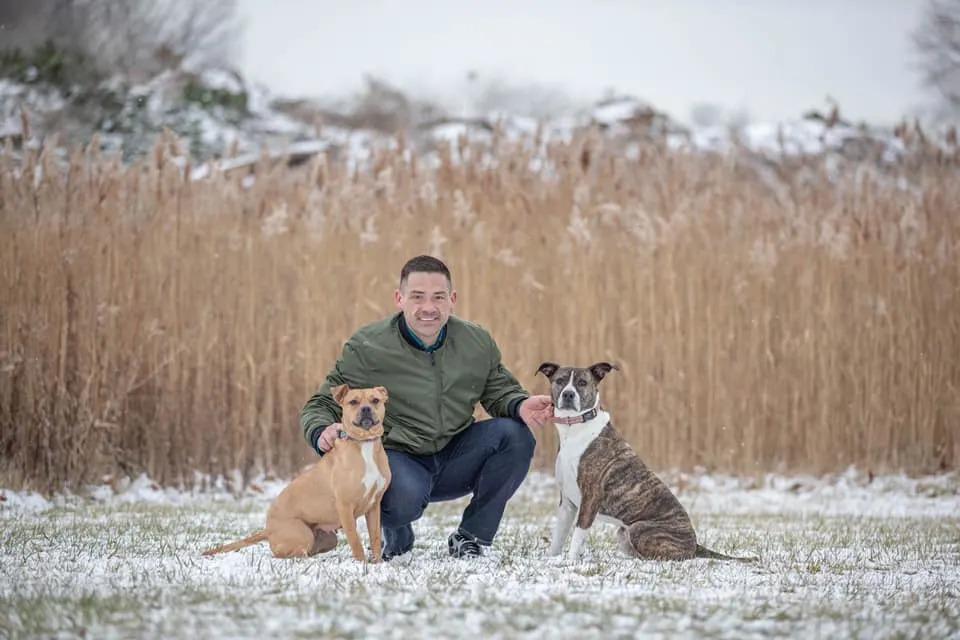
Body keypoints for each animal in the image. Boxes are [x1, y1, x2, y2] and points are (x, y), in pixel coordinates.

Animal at [201, 384, 392, 560]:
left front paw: (377, 563)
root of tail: (268, 529)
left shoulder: (374, 506)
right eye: (353, 402)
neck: (364, 444)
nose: (366, 409)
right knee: (288, 554)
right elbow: (355, 540)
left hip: (328, 538)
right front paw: (362, 564)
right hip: (302, 534)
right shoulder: (345, 507)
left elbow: (375, 538)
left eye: (375, 400)